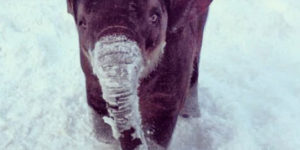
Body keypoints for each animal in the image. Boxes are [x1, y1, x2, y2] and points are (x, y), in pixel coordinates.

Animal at [66, 0, 211, 149]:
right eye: (82, 23)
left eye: (154, 18)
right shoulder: (88, 71)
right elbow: (100, 124)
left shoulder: (176, 60)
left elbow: (157, 128)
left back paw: (191, 115)